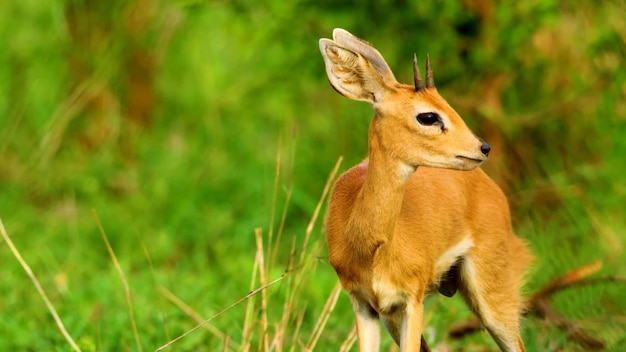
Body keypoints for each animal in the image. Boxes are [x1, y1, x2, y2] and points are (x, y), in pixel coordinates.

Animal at [320, 29, 528, 352]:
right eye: (428, 116)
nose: (482, 147)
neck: (372, 248)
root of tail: (491, 187)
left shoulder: (412, 301)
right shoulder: (365, 304)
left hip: (493, 298)